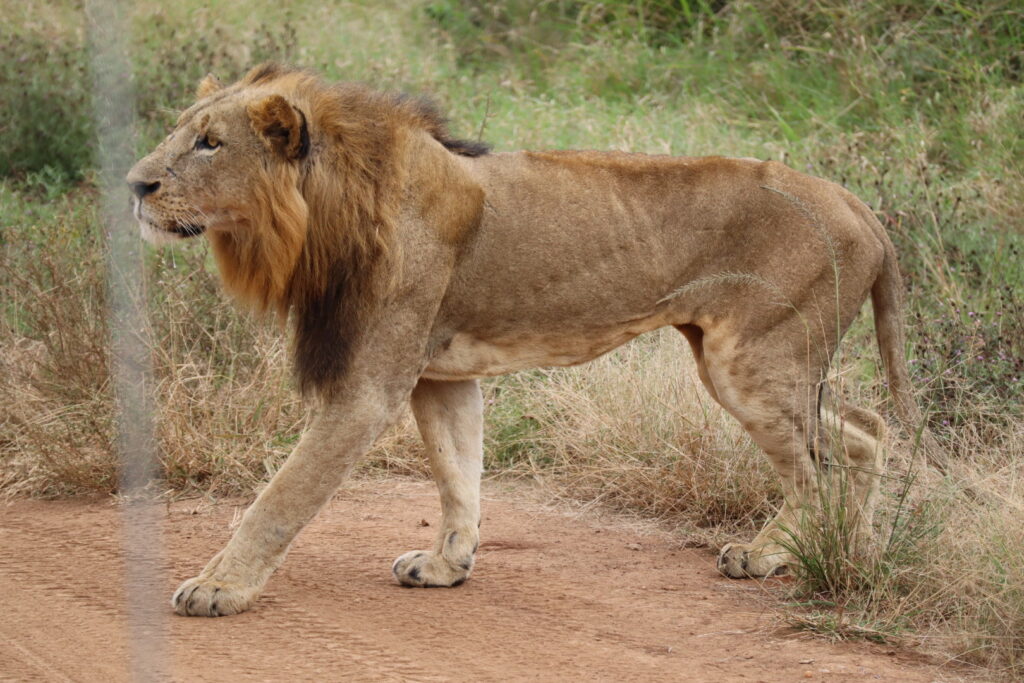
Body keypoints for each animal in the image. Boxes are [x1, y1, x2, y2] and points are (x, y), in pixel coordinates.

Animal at [123, 65, 937, 618]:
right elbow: (458, 475)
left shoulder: (368, 387)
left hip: (751, 359)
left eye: (209, 143)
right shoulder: (441, 376)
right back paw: (847, 548)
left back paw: (785, 553)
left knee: (816, 466)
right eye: (181, 133)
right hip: (756, 361)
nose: (134, 185)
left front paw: (218, 586)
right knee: (862, 433)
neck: (323, 209)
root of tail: (860, 205)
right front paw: (447, 565)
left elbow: (281, 496)